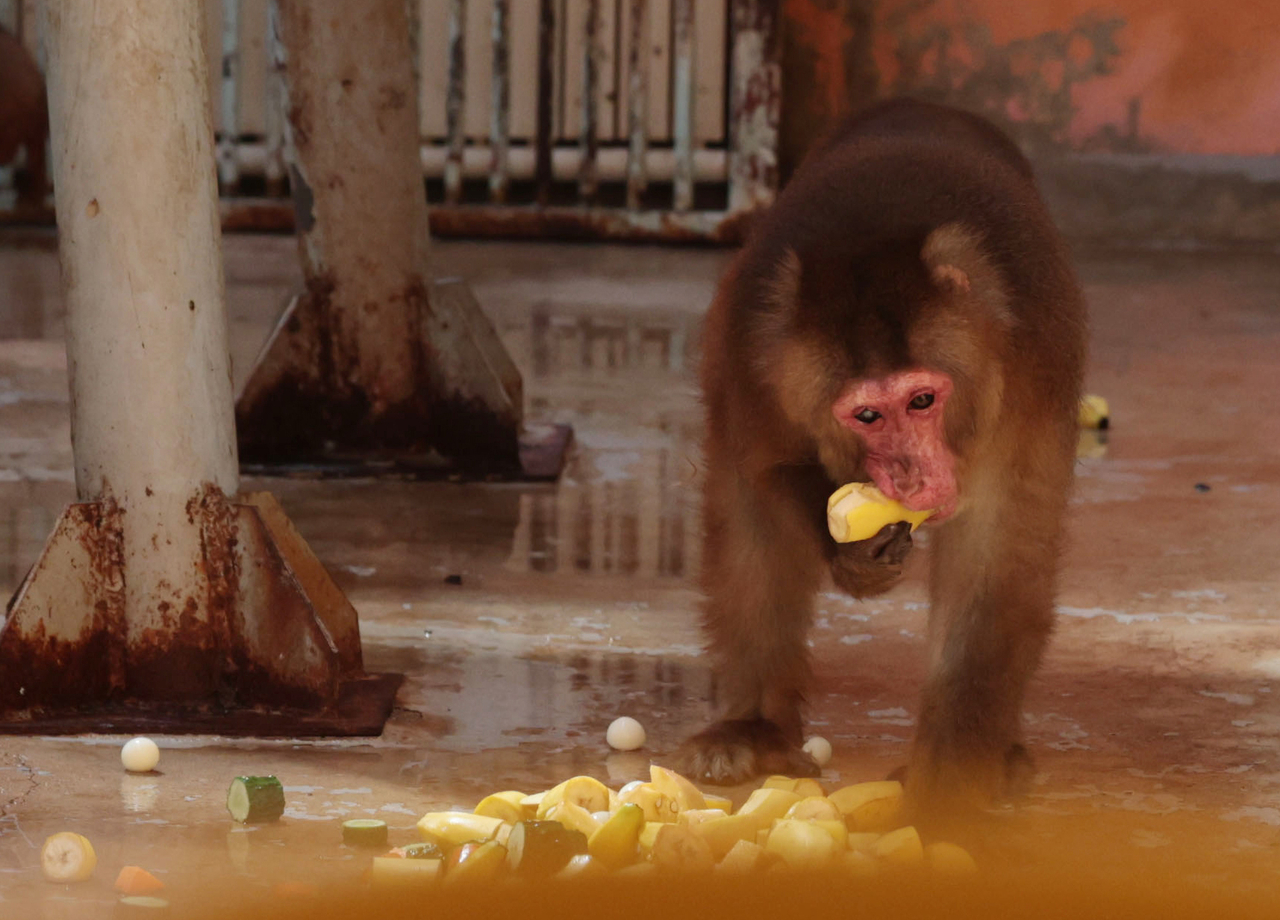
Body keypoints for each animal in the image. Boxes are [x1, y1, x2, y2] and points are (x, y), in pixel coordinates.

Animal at [678, 98, 1086, 815]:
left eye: (922, 400)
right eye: (867, 415)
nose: (909, 476)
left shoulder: (1029, 385)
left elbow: (997, 563)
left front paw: (949, 774)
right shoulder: (754, 366)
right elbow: (766, 473)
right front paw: (854, 556)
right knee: (748, 519)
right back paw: (751, 728)